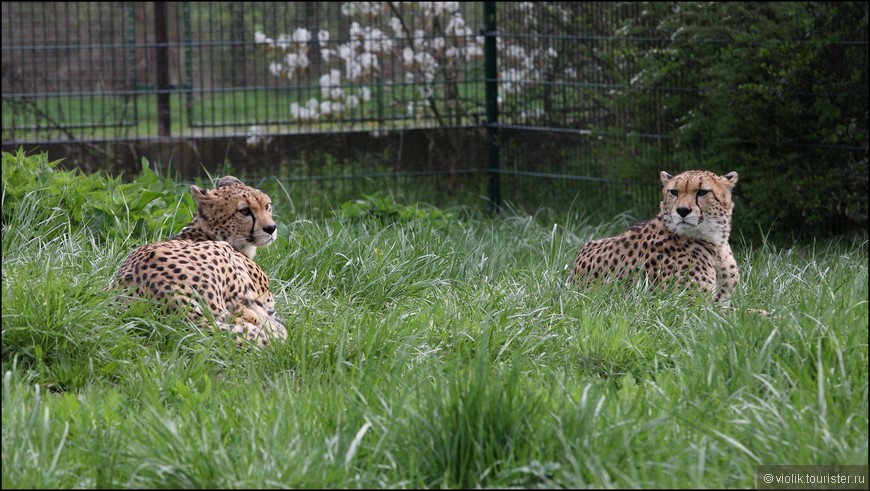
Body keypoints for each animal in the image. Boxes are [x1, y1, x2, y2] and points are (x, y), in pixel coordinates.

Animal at [572, 171, 744, 306]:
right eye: (673, 192)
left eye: (702, 192)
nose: (682, 210)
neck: (715, 244)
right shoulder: (685, 305)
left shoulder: (720, 303)